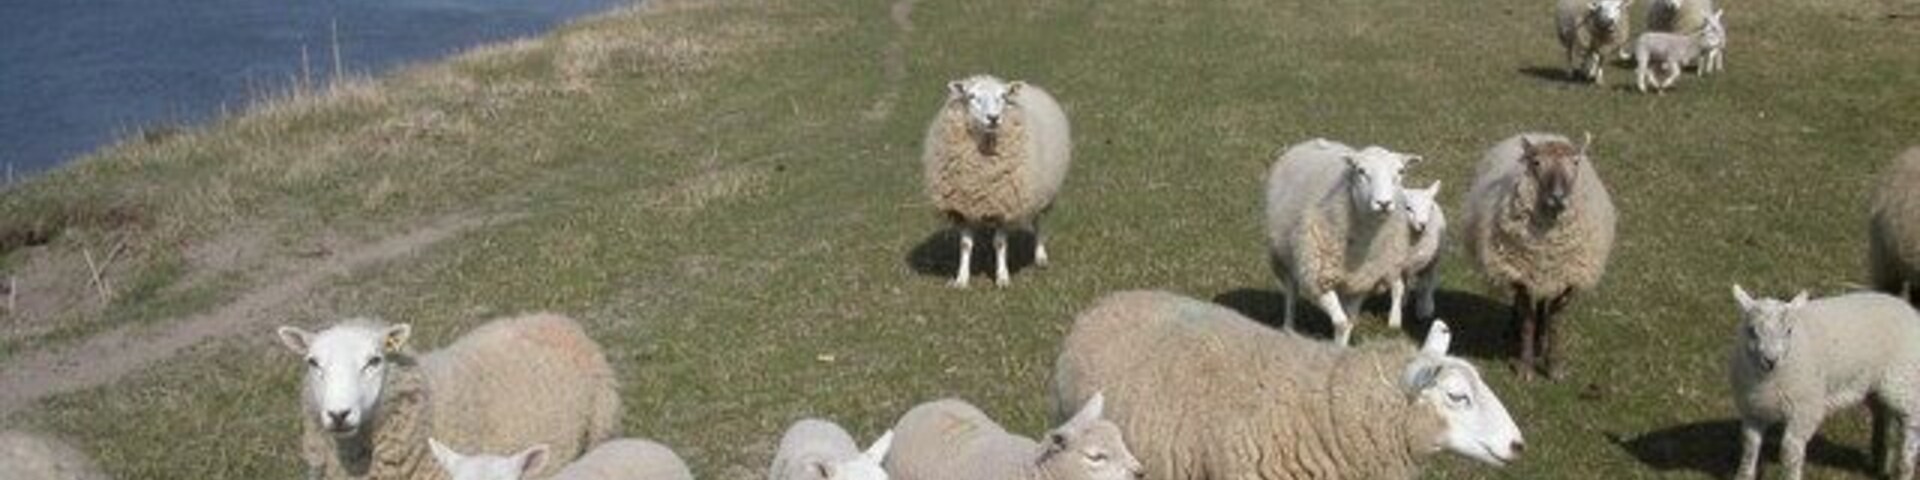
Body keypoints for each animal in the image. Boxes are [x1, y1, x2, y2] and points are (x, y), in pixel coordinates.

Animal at [922, 74, 1072, 288]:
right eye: (971, 96)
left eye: (1002, 96)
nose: (993, 118)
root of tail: (1031, 87)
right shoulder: (963, 208)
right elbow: (965, 244)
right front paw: (961, 279)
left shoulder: (1004, 203)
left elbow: (1000, 243)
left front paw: (1002, 277)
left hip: (1040, 192)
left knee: (1038, 222)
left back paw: (1040, 256)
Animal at [1266, 138, 1423, 345]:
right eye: (1361, 171)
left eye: (1400, 171)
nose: (1383, 203)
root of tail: (1314, 141)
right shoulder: (1318, 277)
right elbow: (1341, 322)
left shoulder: (1360, 284)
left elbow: (1349, 323)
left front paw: (1341, 348)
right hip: (1284, 255)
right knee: (1291, 293)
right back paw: (1288, 329)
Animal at [1400, 181, 1446, 324]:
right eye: (1408, 208)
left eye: (1429, 207)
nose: (1422, 224)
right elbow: (1401, 287)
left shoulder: (1428, 262)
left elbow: (1425, 286)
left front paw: (1424, 311)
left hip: (1435, 259)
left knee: (1430, 282)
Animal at [1460, 132, 1616, 381]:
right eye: (1536, 163)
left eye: (1575, 162)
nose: (1558, 197)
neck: (1549, 245)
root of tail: (1544, 134)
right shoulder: (1523, 275)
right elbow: (1527, 320)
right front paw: (1525, 367)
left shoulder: (1568, 279)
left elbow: (1555, 321)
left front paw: (1555, 367)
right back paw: (1514, 331)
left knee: (1544, 306)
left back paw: (1541, 341)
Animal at [1728, 286, 1920, 480]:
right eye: (1751, 330)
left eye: (1789, 331)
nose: (1770, 360)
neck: (1766, 381)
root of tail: (1907, 308)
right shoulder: (1752, 410)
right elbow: (1750, 446)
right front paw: (1743, 475)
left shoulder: (1804, 410)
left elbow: (1790, 451)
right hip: (1876, 387)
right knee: (1885, 418)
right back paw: (1883, 464)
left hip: (1904, 379)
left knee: (1912, 424)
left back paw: (1905, 468)